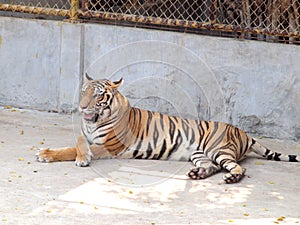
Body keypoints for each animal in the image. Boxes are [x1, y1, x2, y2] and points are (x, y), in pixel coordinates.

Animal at [36, 74, 298, 184]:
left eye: (98, 95)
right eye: (84, 91)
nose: (81, 107)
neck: (96, 120)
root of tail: (244, 132)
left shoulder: (109, 145)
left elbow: (71, 149)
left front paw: (58, 156)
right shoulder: (86, 135)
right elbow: (77, 143)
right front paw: (57, 153)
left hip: (219, 149)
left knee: (237, 168)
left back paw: (232, 178)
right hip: (199, 153)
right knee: (211, 167)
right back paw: (197, 174)